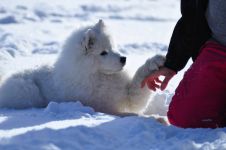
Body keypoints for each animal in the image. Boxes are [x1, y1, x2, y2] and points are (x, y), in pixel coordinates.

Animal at [0, 19, 165, 115]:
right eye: (103, 53)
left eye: (113, 47)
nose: (123, 59)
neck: (97, 76)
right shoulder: (104, 107)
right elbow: (126, 114)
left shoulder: (128, 96)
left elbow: (139, 83)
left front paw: (154, 62)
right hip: (26, 88)